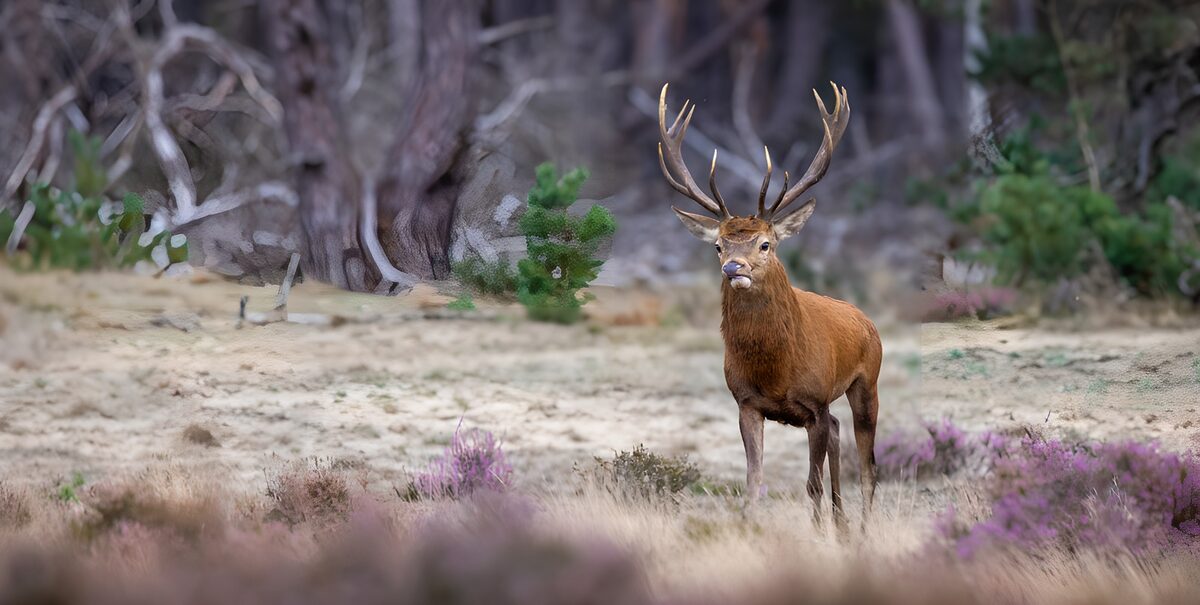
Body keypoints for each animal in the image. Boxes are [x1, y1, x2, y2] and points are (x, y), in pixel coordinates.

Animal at [657, 82, 881, 531]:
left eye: (765, 244)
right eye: (718, 245)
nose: (733, 267)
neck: (776, 370)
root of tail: (866, 320)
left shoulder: (815, 401)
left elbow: (811, 484)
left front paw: (817, 535)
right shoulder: (746, 402)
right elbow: (753, 482)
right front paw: (751, 529)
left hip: (868, 382)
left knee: (867, 468)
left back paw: (863, 531)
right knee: (838, 434)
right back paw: (842, 526)